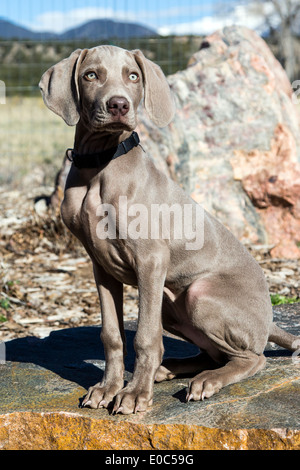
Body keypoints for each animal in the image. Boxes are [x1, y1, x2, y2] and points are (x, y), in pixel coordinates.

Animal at [39, 46, 298, 414]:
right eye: (91, 75)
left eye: (133, 76)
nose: (119, 105)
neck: (101, 165)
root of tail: (269, 320)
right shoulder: (101, 265)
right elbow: (112, 334)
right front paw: (107, 388)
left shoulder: (151, 260)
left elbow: (145, 337)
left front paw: (135, 394)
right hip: (170, 301)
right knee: (213, 354)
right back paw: (170, 369)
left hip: (197, 295)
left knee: (252, 357)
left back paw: (205, 381)